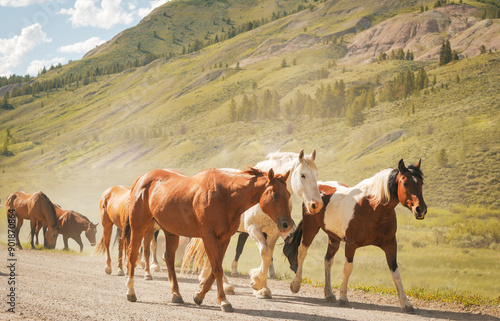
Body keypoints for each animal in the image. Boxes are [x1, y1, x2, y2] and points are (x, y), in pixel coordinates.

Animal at [124, 166, 292, 312]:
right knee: (132, 253)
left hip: (170, 232)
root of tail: (142, 178)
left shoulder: (224, 239)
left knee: (169, 258)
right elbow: (217, 268)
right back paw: (131, 292)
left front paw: (199, 295)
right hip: (139, 227)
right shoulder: (208, 237)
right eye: (275, 195)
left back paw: (176, 295)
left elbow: (215, 268)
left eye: (289, 195)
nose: (287, 224)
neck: (225, 196)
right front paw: (224, 301)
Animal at [182, 149, 322, 298]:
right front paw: (257, 282)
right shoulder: (252, 229)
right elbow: (264, 252)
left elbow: (267, 255)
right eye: (303, 175)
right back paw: (226, 285)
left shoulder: (273, 232)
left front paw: (263, 288)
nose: (316, 204)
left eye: (317, 174)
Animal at [284, 159, 428, 312]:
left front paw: (406, 303)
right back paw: (296, 284)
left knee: (328, 260)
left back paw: (329, 294)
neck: (373, 208)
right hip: (311, 228)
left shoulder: (390, 244)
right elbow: (347, 269)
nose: (421, 209)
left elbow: (396, 273)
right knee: (302, 252)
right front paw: (343, 297)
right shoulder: (351, 244)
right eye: (405, 183)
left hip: (333, 237)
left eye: (421, 183)